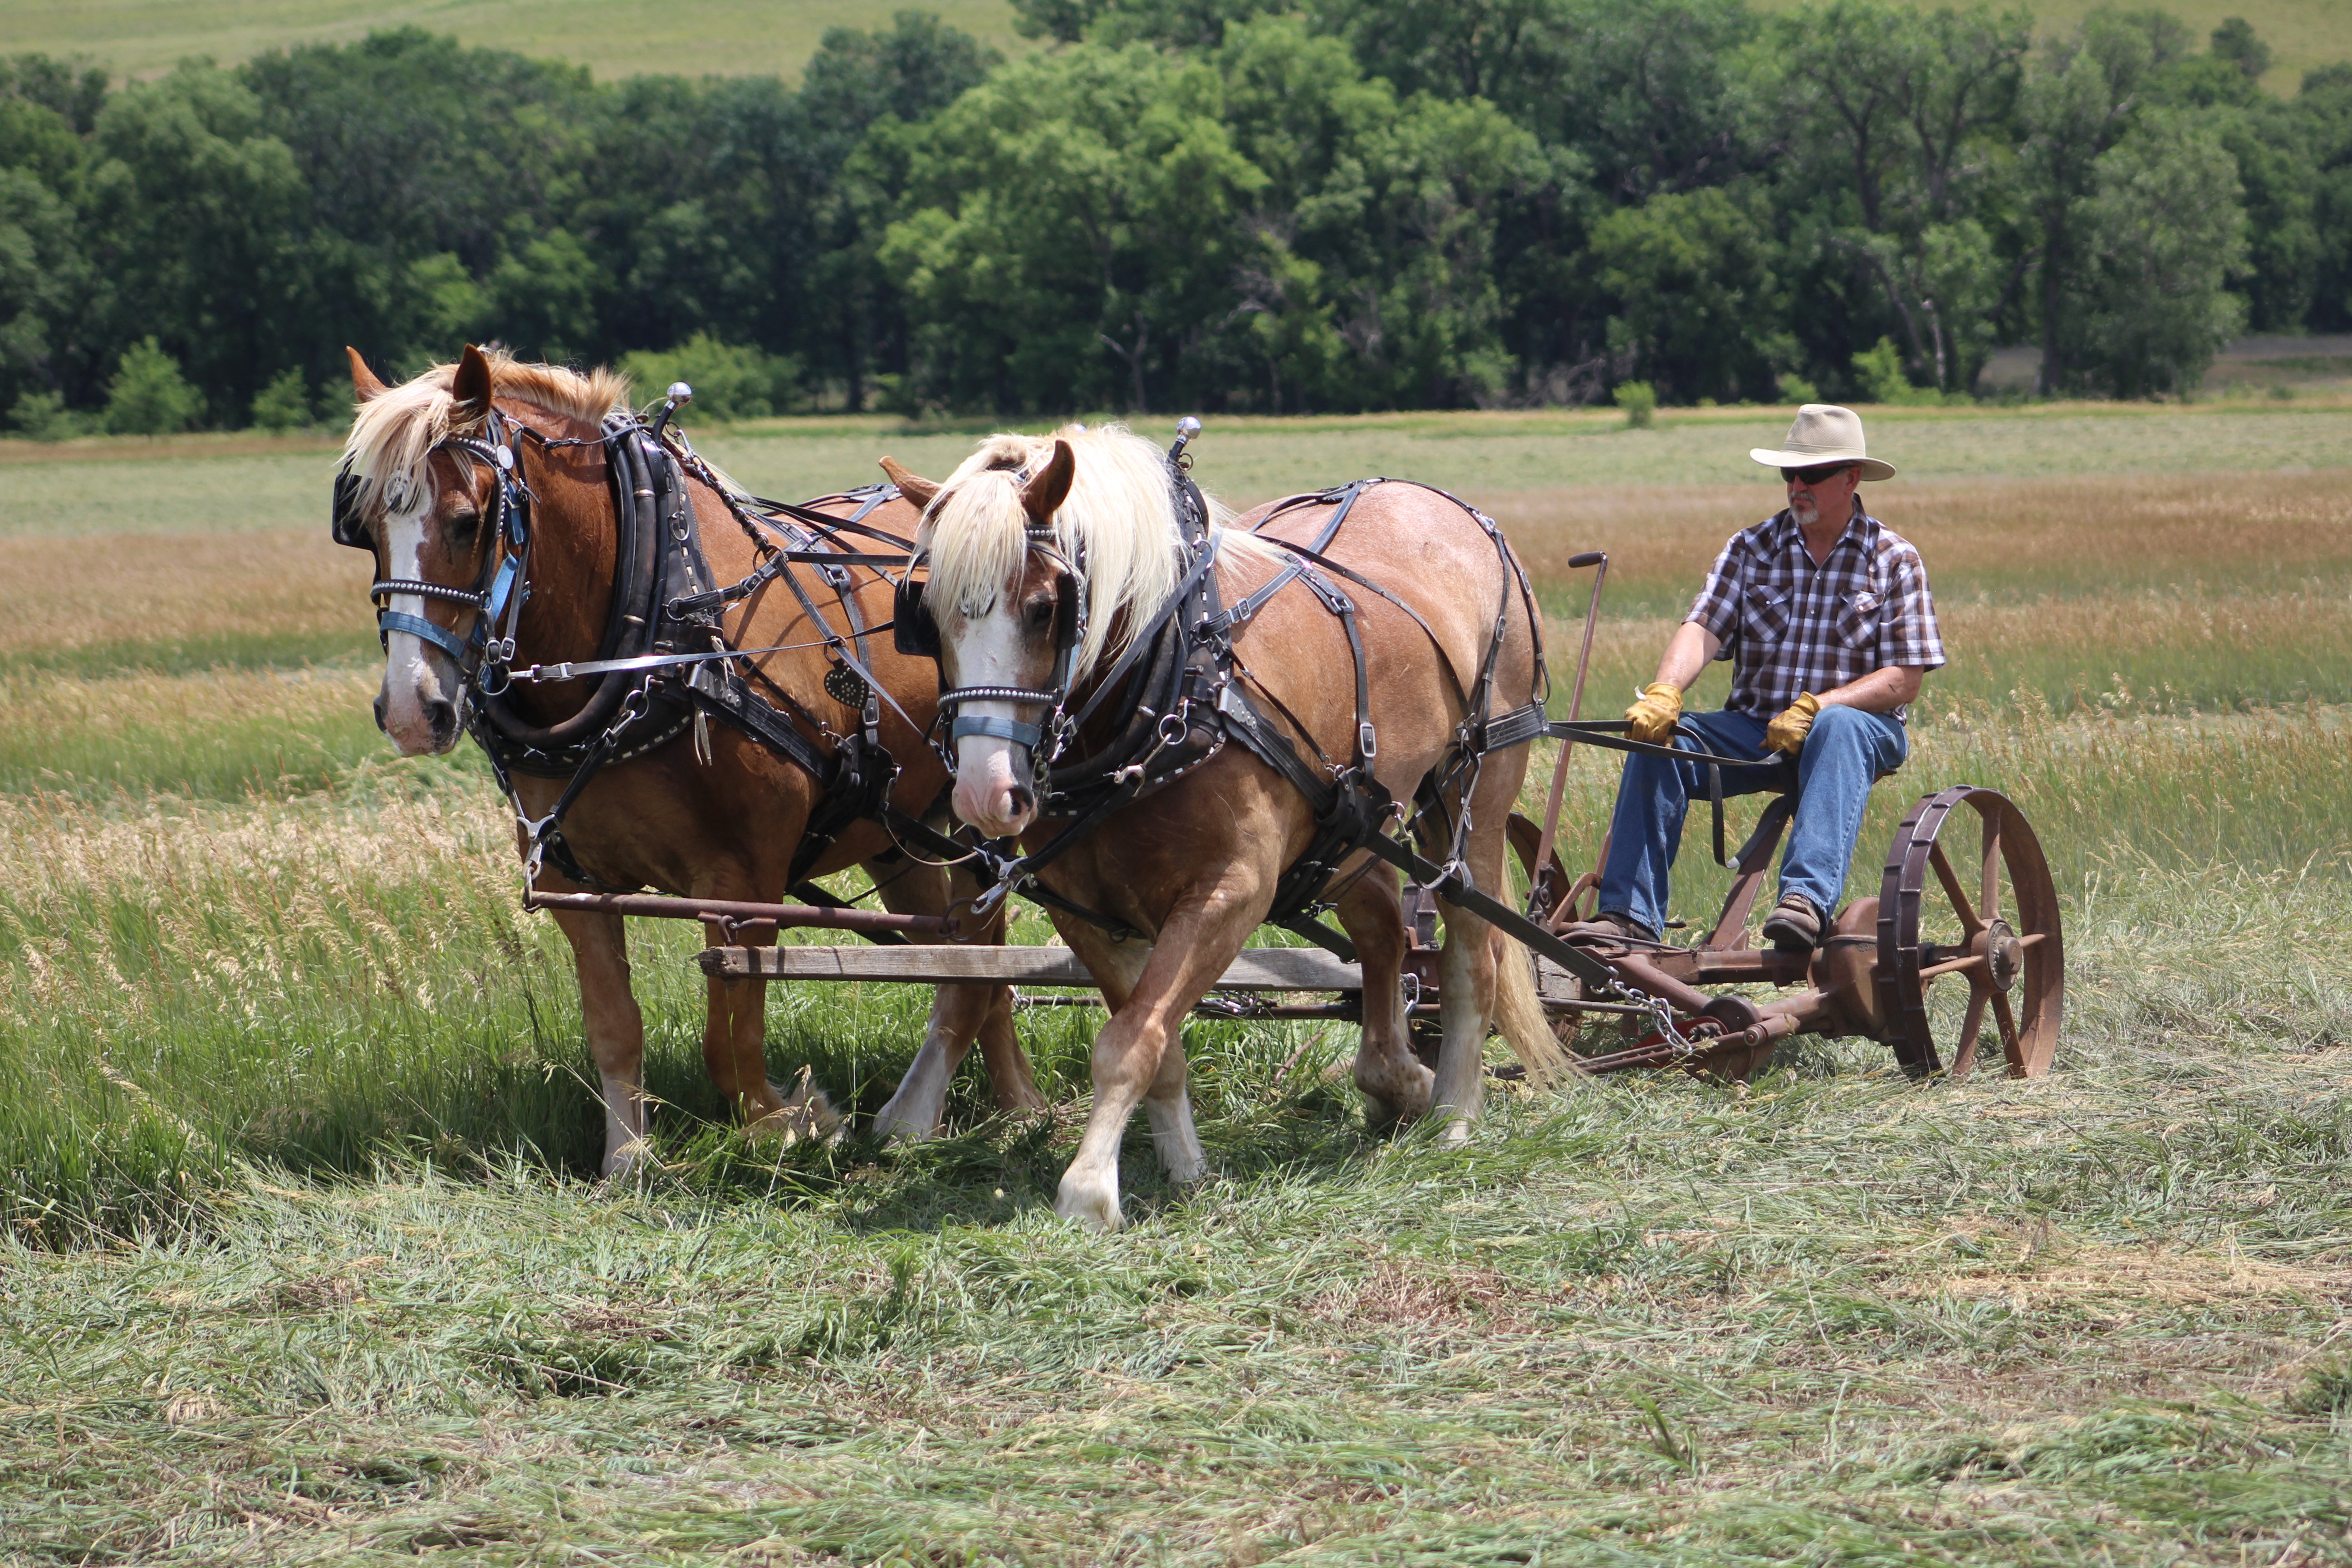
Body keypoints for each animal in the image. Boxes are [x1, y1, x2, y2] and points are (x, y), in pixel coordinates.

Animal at [334, 344, 1042, 1174]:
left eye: (466, 521)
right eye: (364, 526)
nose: (411, 711)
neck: (654, 636)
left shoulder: (744, 882)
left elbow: (730, 1044)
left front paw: (795, 1123)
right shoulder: (575, 882)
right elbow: (614, 1027)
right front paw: (628, 1163)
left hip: (981, 820)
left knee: (978, 961)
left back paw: (968, 1111)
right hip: (897, 832)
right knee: (962, 957)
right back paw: (1001, 1103)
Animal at [879, 424, 1559, 1230]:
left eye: (1046, 607)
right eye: (925, 615)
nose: (987, 793)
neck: (1177, 685)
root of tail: (1436, 501)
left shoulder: (1230, 892)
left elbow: (1130, 1041)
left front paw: (1088, 1190)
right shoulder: (1088, 911)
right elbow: (1156, 1040)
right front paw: (1185, 1166)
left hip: (1478, 789)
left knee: (1469, 955)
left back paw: (1454, 1112)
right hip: (1355, 821)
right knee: (1384, 935)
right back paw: (1395, 1079)